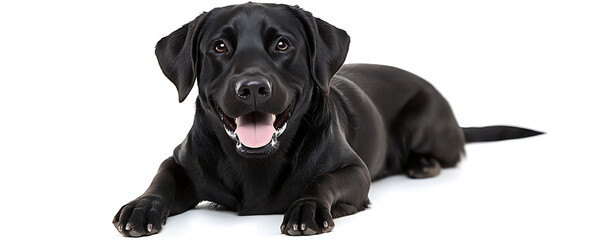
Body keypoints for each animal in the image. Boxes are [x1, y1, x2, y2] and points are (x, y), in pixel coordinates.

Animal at [112, 2, 544, 237]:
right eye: (219, 46)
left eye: (282, 44)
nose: (252, 88)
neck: (255, 162)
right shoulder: (181, 162)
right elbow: (162, 177)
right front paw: (141, 207)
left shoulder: (355, 171)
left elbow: (324, 181)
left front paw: (306, 208)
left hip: (422, 121)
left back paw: (423, 164)